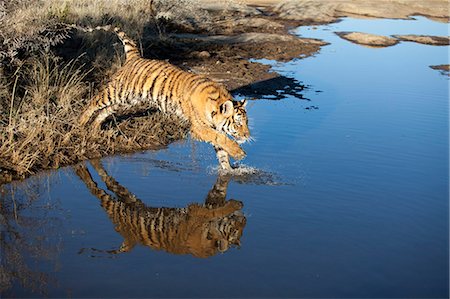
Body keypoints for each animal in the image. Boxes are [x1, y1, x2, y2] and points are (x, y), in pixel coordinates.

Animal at [74, 25, 250, 171]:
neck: (215, 106)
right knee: (93, 102)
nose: (247, 136)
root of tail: (135, 57)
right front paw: (239, 153)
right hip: (116, 92)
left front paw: (228, 171)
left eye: (246, 123)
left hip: (127, 101)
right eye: (238, 123)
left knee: (105, 111)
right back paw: (80, 123)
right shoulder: (199, 128)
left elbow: (221, 150)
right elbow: (221, 138)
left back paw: (94, 129)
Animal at [75, 161, 248, 258]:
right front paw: (236, 204)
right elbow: (216, 211)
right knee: (95, 189)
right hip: (113, 205)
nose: (244, 218)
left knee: (110, 183)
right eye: (236, 229)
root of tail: (128, 240)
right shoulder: (197, 212)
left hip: (129, 199)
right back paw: (82, 168)